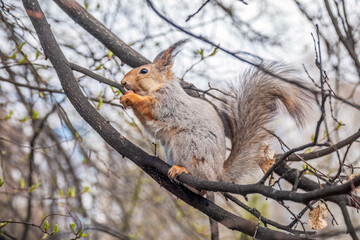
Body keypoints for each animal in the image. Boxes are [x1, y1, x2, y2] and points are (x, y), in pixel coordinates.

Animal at [120, 40, 310, 184]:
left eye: (144, 71)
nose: (122, 82)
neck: (159, 87)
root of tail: (218, 175)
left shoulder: (170, 104)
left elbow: (154, 109)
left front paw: (133, 98)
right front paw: (126, 98)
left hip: (189, 143)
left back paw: (183, 170)